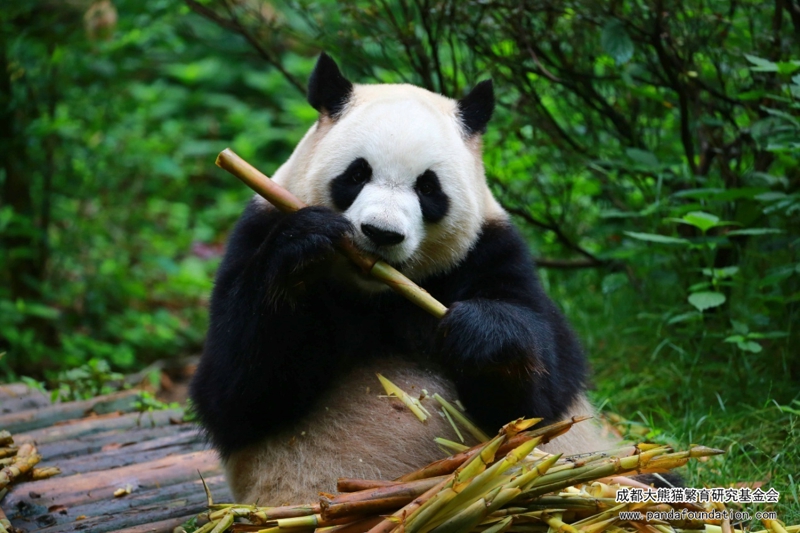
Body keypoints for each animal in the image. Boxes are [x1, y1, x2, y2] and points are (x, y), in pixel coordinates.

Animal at [189, 53, 618, 506]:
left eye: (428, 187)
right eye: (356, 174)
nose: (381, 233)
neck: (376, 294)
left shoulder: (489, 250)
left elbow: (539, 400)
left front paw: (479, 333)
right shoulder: (258, 228)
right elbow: (233, 393)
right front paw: (304, 247)